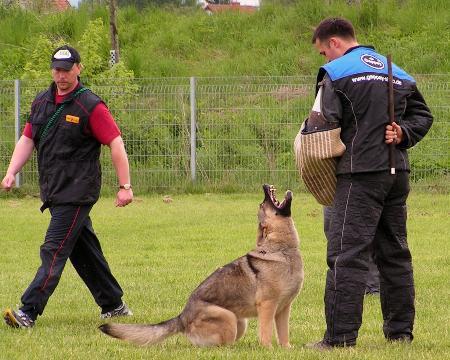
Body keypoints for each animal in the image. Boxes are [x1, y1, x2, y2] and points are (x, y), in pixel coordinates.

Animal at [100, 184, 304, 348]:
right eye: (262, 205)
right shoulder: (268, 307)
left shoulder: (284, 309)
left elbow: (283, 334)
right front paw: (268, 349)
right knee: (222, 345)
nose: (264, 186)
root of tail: (182, 317)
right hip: (229, 319)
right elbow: (266, 333)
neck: (283, 249)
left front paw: (286, 349)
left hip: (240, 323)